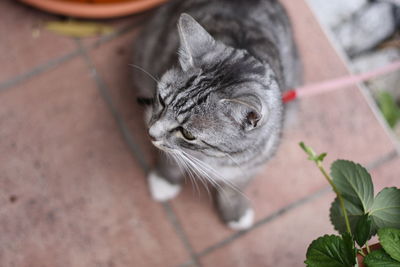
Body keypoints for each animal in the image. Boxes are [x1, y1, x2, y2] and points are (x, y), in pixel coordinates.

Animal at [133, 0, 302, 230]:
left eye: (188, 133)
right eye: (161, 100)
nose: (151, 133)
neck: (215, 157)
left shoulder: (254, 163)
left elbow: (236, 186)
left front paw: (234, 211)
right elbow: (171, 159)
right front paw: (165, 180)